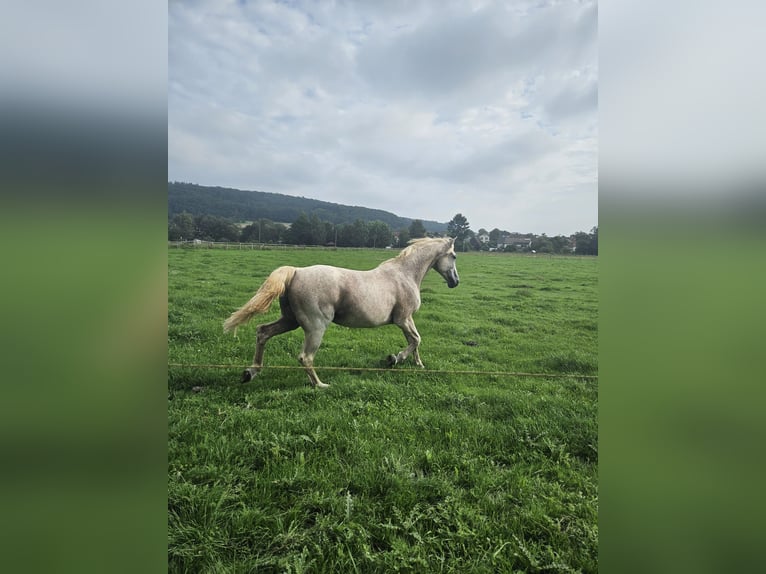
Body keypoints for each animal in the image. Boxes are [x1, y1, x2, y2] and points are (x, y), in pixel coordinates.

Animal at [223, 236, 460, 388]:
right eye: (454, 256)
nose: (455, 282)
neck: (405, 274)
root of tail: (296, 272)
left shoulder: (405, 319)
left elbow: (414, 340)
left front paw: (417, 364)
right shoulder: (403, 318)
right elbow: (416, 340)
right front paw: (394, 359)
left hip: (290, 321)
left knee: (263, 332)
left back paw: (250, 373)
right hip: (315, 327)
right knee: (305, 357)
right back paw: (320, 385)